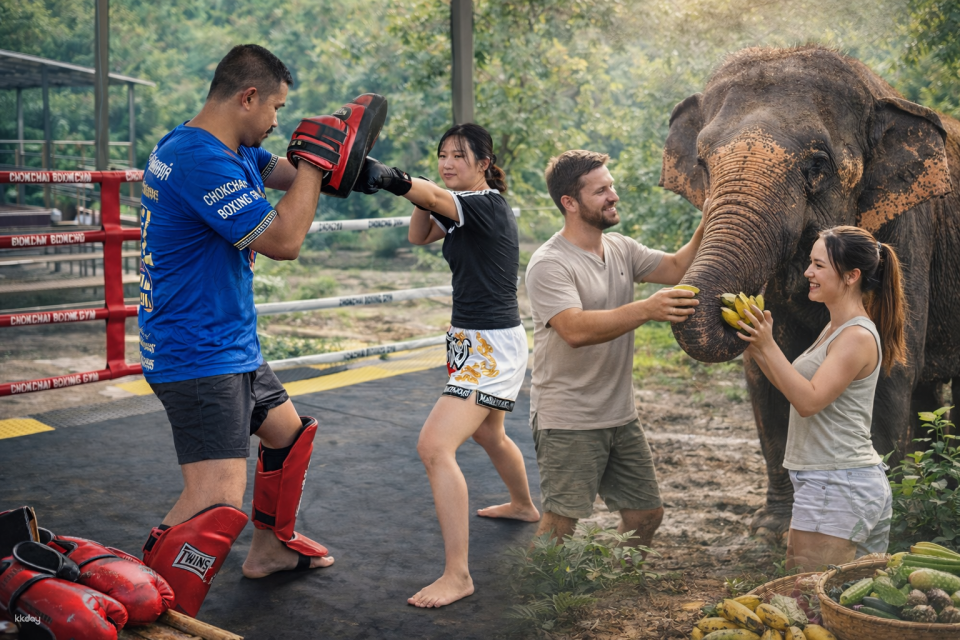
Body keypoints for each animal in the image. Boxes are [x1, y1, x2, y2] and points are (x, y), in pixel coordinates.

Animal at [658, 45, 960, 538]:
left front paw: (887, 525)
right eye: (702, 164)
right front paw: (771, 529)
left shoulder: (909, 226)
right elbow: (766, 374)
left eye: (817, 165)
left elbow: (892, 367)